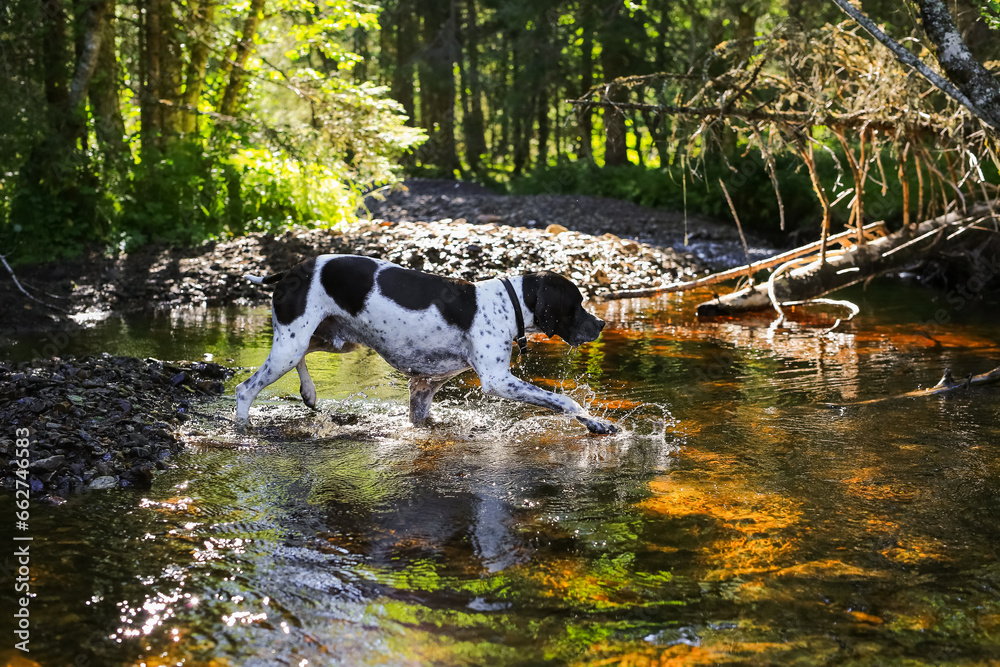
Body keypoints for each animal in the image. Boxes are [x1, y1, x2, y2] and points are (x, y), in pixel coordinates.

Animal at [238, 253, 620, 436]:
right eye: (577, 304)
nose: (601, 324)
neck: (507, 303)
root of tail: (289, 270)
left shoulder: (423, 385)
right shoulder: (498, 381)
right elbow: (564, 400)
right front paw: (595, 422)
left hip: (329, 341)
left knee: (305, 356)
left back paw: (309, 392)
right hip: (290, 345)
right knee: (245, 389)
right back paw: (244, 427)